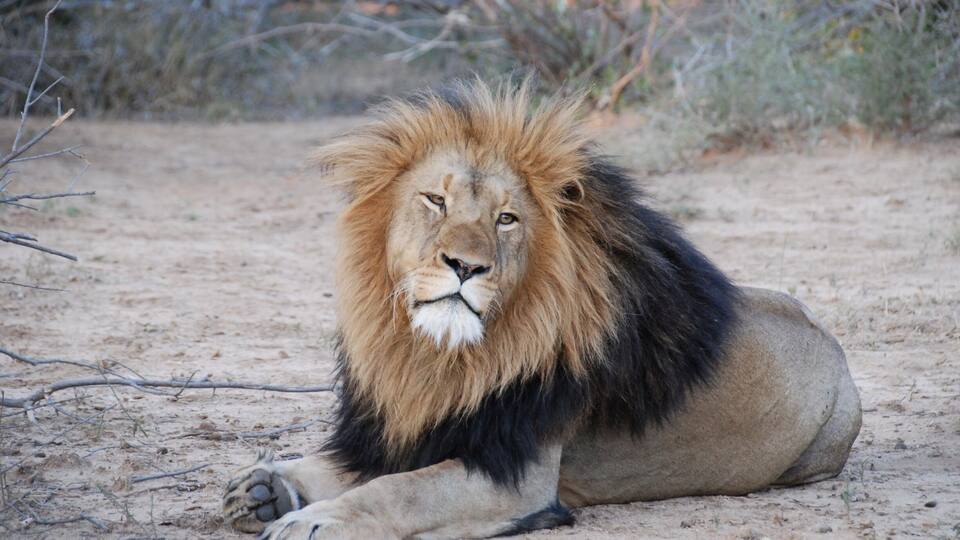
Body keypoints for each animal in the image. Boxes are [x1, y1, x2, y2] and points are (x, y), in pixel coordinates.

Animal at [222, 80, 861, 539]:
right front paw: (267, 486)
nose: (465, 266)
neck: (435, 358)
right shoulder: (405, 427)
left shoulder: (517, 475)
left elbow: (400, 489)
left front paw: (314, 520)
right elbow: (336, 466)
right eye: (436, 200)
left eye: (506, 218)